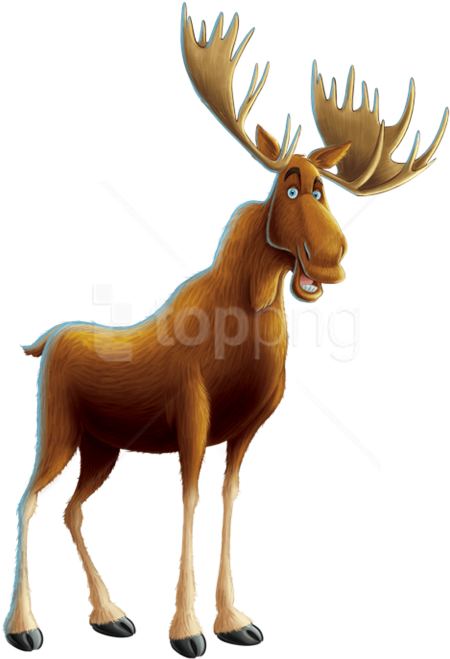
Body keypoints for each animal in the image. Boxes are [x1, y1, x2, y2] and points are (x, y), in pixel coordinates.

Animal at [3, 3, 448, 657]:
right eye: (290, 186)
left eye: (324, 190)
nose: (332, 259)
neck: (248, 333)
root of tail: (45, 342)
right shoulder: (192, 413)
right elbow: (189, 499)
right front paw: (187, 629)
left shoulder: (245, 429)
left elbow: (229, 500)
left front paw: (234, 619)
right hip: (59, 430)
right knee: (29, 500)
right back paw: (23, 625)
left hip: (105, 446)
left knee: (72, 510)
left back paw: (109, 614)